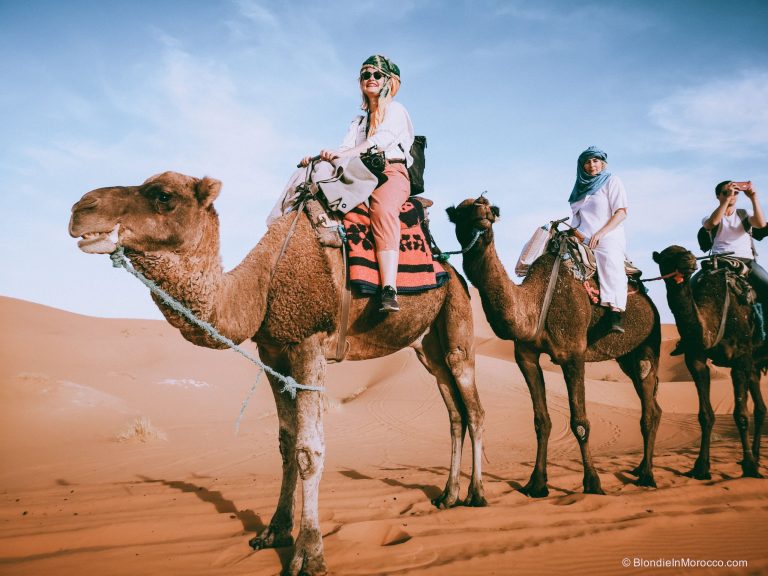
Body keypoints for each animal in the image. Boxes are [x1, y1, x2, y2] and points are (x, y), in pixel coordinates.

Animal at [67, 171, 486, 576]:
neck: (260, 286)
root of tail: (451, 269)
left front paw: (309, 552)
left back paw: (476, 494)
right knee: (454, 412)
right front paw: (274, 532)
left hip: (457, 320)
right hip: (426, 348)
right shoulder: (272, 351)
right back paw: (447, 495)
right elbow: (286, 444)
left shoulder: (309, 341)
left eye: (163, 195)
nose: (80, 208)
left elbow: (309, 450)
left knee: (474, 408)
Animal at [448, 196, 664, 498]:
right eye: (461, 212)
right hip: (627, 357)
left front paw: (593, 483)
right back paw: (641, 469)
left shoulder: (573, 353)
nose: (483, 213)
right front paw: (537, 484)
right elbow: (542, 421)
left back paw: (647, 475)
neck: (536, 303)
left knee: (649, 407)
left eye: (490, 207)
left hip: (649, 343)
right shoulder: (525, 356)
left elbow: (580, 423)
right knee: (652, 405)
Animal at [652, 245, 764, 480]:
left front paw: (749, 466)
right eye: (666, 257)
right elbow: (705, 415)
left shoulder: (740, 359)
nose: (688, 260)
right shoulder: (695, 360)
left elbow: (741, 414)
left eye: (686, 251)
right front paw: (701, 467)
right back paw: (757, 455)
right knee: (760, 409)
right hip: (755, 366)